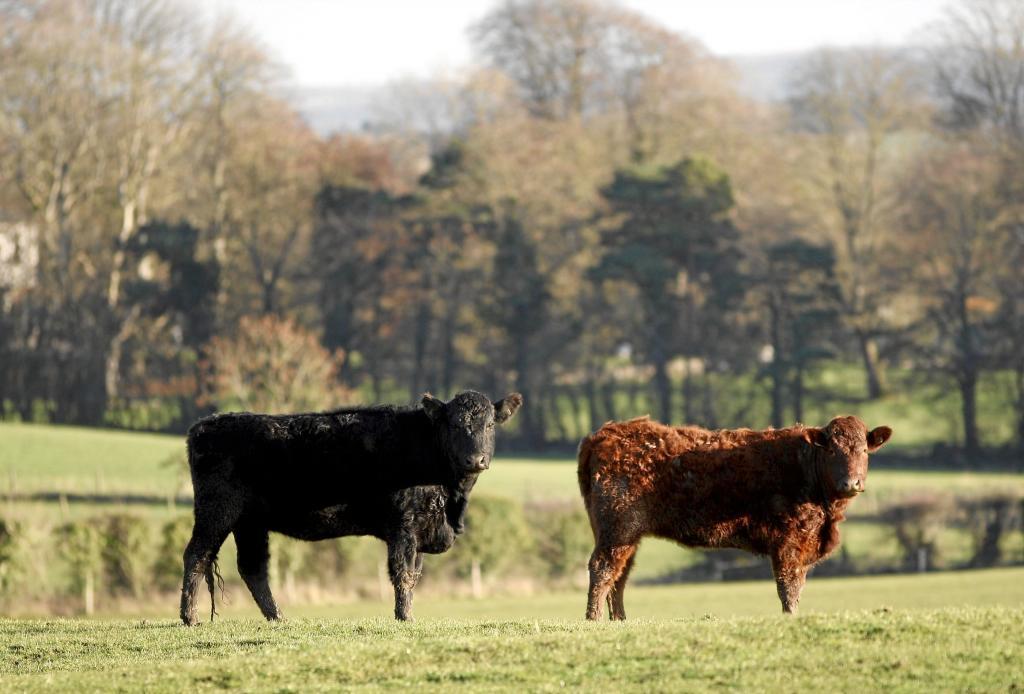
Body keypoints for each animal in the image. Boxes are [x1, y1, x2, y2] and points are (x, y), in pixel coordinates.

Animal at [179, 390, 522, 625]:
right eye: (454, 425)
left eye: (489, 425)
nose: (475, 459)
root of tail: (203, 425)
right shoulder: (403, 527)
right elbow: (402, 574)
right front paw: (405, 617)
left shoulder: (421, 532)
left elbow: (415, 574)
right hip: (216, 512)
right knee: (197, 555)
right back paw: (190, 617)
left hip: (250, 523)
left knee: (253, 568)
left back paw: (278, 617)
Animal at [577, 415, 892, 619]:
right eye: (832, 450)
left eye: (864, 450)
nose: (851, 483)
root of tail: (604, 433)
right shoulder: (789, 541)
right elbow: (788, 585)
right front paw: (790, 618)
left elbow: (797, 584)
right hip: (617, 529)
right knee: (602, 569)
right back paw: (593, 619)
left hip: (625, 535)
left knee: (620, 575)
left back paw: (619, 621)